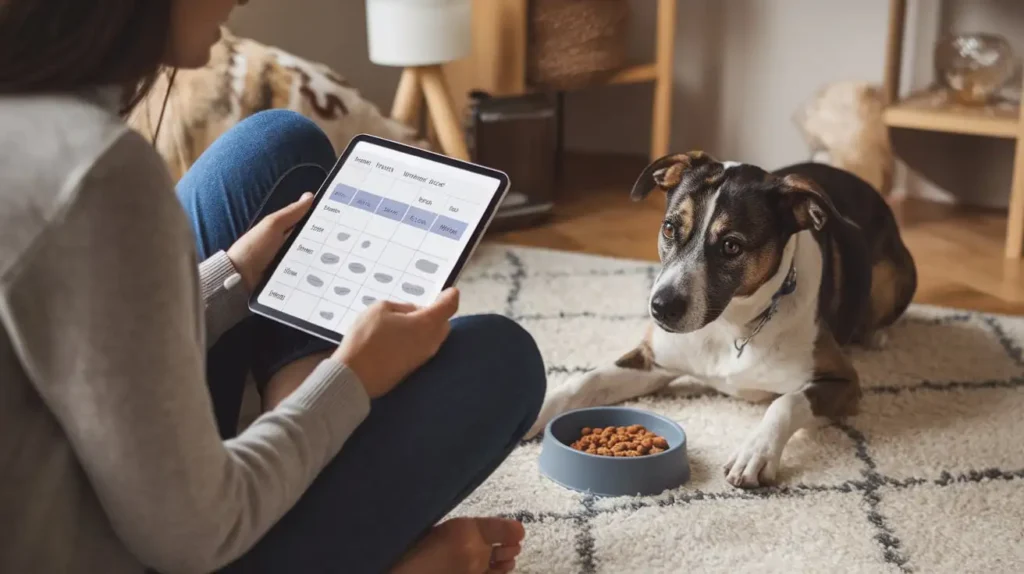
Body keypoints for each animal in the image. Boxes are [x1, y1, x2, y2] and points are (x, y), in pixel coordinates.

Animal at [524, 152, 917, 487]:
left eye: (731, 246)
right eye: (670, 228)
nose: (661, 306)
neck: (730, 325)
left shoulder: (844, 382)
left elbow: (785, 402)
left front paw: (756, 453)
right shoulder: (652, 361)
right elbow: (584, 381)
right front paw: (534, 411)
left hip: (892, 277)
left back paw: (876, 334)